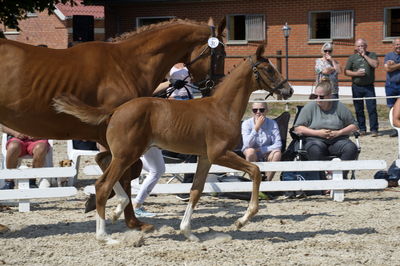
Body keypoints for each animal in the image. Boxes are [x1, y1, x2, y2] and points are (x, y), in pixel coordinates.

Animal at [0, 18, 225, 231]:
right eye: (220, 55)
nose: (215, 89)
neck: (127, 65)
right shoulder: (122, 139)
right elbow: (127, 173)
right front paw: (130, 219)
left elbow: (118, 168)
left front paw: (104, 204)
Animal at [53, 43, 292, 243]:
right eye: (269, 69)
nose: (288, 90)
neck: (222, 109)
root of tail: (116, 110)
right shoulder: (220, 154)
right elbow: (255, 170)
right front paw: (243, 219)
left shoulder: (205, 157)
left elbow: (196, 191)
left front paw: (188, 232)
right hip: (127, 154)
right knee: (102, 185)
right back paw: (104, 236)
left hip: (125, 153)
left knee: (102, 163)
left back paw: (118, 208)